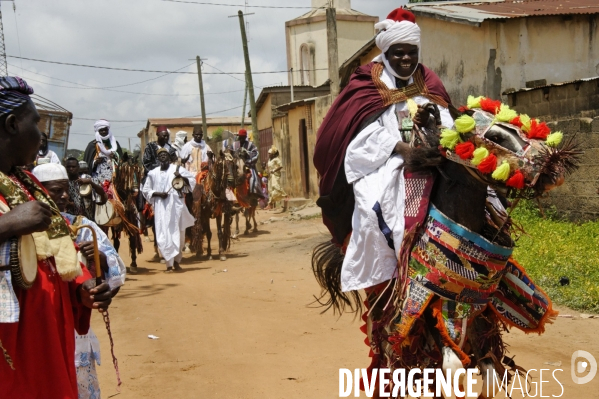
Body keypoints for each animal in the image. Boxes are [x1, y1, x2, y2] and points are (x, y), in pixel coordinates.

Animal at [312, 104, 580, 398]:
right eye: (495, 136)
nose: (554, 165)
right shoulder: (427, 309)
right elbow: (452, 369)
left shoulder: (476, 311)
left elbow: (487, 376)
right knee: (389, 355)